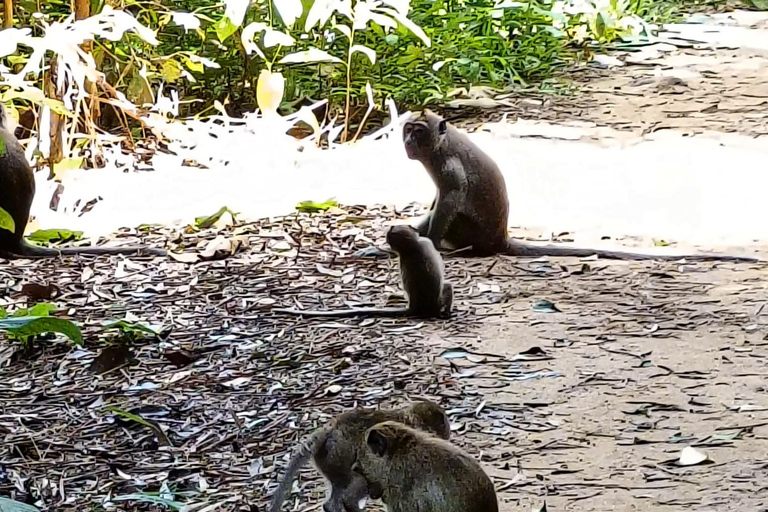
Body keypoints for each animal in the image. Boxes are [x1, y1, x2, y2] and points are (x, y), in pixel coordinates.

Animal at [396, 109, 756, 262]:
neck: (440, 146)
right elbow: (437, 202)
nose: (407, 140)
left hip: (471, 233)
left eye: (417, 131)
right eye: (408, 129)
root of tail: (500, 239)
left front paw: (428, 242)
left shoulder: (449, 167)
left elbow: (450, 199)